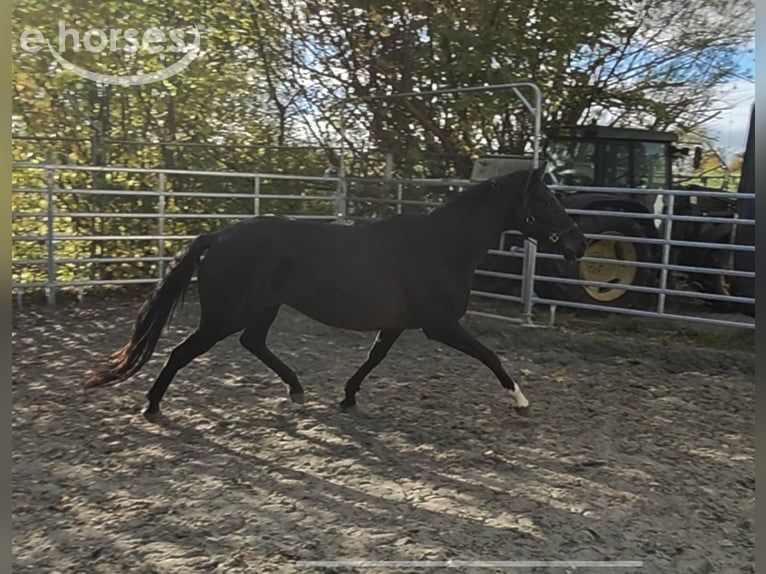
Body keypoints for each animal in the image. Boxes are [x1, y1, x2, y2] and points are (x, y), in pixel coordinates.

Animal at [84, 165, 586, 421]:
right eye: (545, 200)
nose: (578, 244)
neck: (442, 246)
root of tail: (219, 237)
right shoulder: (440, 325)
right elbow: (490, 355)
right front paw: (519, 399)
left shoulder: (398, 324)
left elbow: (372, 359)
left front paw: (347, 397)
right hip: (224, 316)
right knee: (180, 353)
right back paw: (151, 405)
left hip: (263, 309)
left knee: (253, 343)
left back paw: (297, 390)